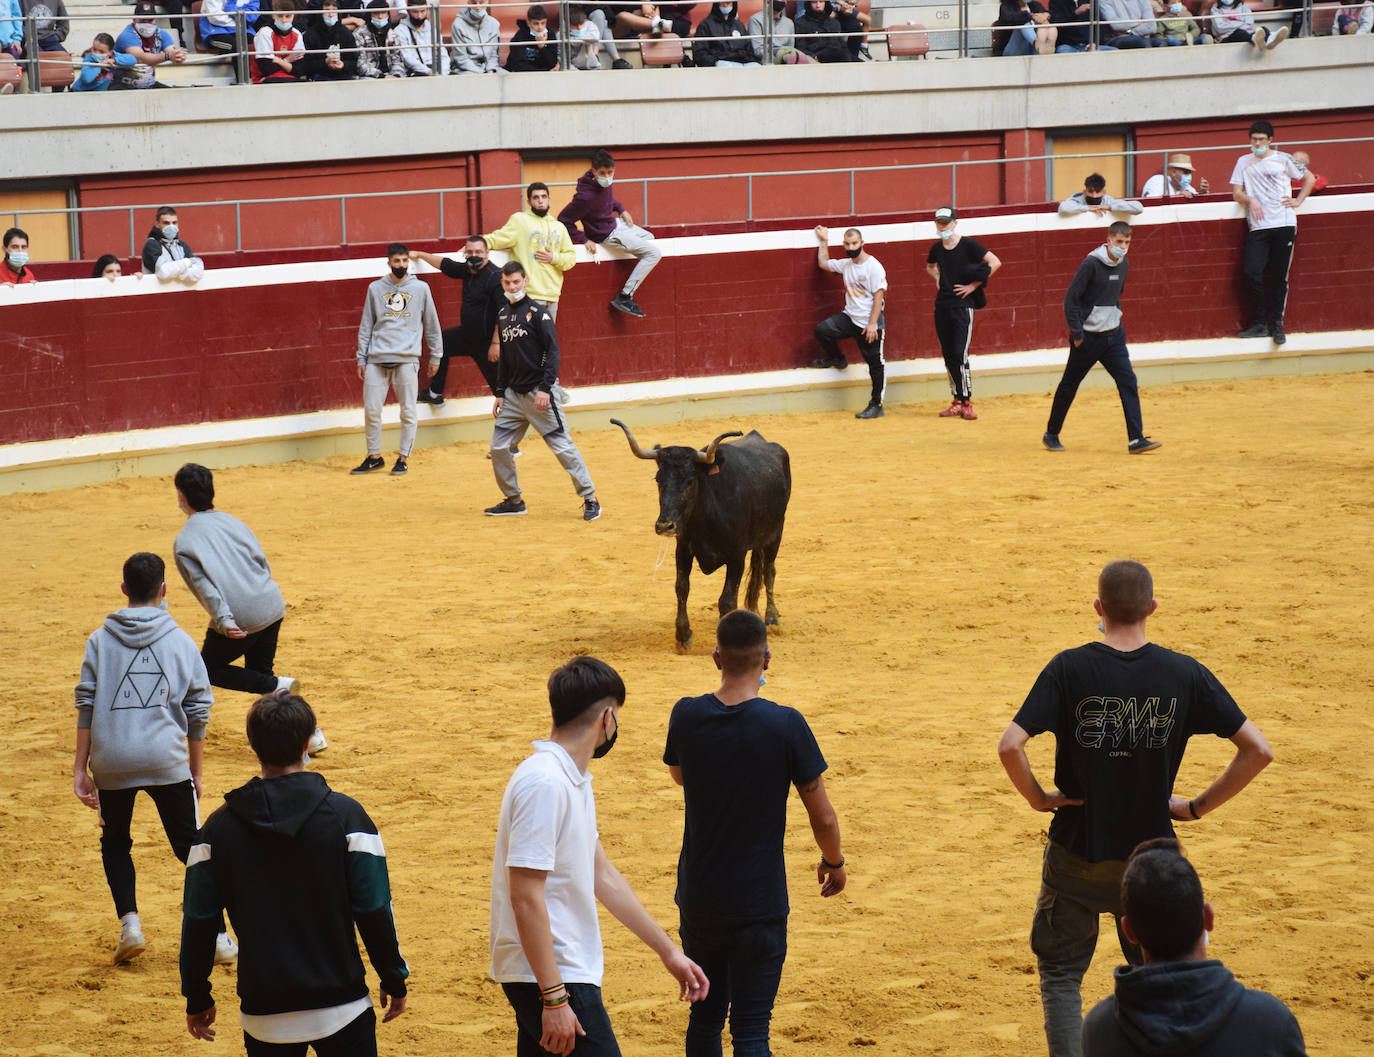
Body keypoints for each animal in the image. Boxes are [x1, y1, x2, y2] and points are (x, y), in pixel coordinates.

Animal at [610, 417, 791, 648]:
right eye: (658, 480)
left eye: (690, 480)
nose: (665, 526)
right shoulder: (682, 549)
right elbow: (682, 587)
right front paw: (683, 635)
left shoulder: (737, 555)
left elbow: (727, 598)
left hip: (776, 533)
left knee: (769, 571)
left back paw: (772, 618)